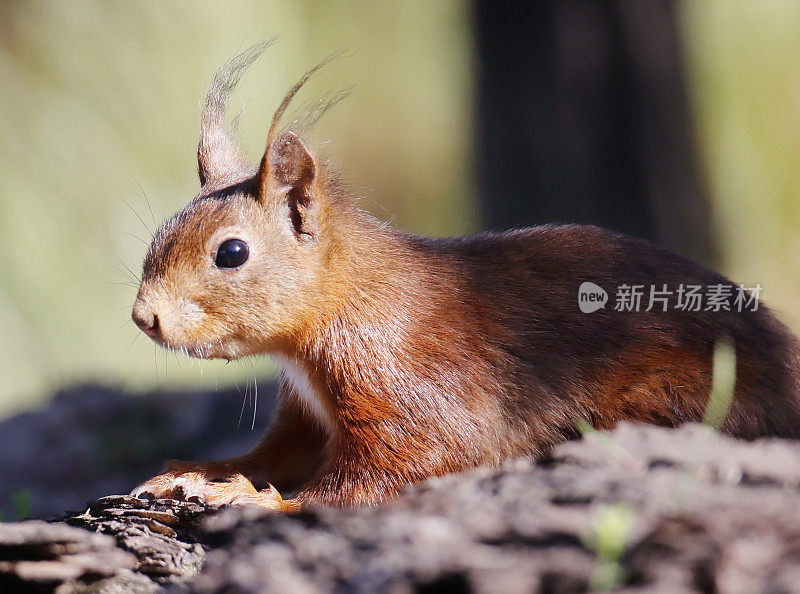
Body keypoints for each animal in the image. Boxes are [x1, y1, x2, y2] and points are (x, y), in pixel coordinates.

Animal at [130, 41, 800, 508]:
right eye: (160, 232)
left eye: (231, 253)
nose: (144, 318)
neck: (347, 302)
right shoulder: (306, 412)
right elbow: (277, 452)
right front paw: (201, 473)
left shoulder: (411, 386)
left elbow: (390, 471)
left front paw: (258, 503)